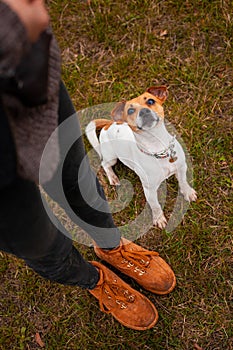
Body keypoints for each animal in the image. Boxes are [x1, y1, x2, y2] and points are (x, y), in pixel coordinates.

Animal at [85, 86, 197, 228]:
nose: (144, 111)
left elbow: (183, 182)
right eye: (130, 110)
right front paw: (158, 218)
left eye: (150, 101)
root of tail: (108, 125)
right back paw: (113, 177)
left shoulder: (182, 168)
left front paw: (188, 192)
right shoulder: (149, 190)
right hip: (112, 158)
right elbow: (155, 206)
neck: (158, 149)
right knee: (105, 164)